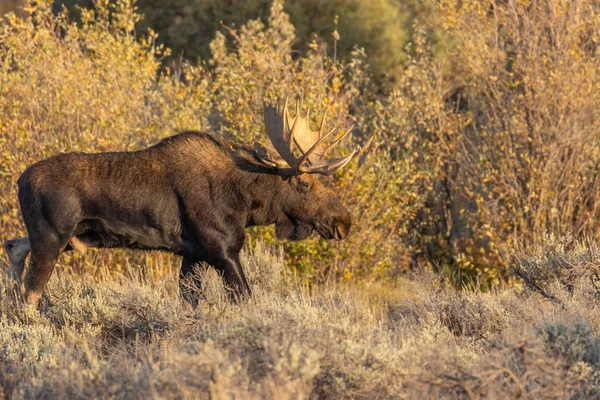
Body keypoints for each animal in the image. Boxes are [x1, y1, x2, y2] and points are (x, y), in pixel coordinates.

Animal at [3, 98, 370, 308]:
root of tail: (20, 181)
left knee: (13, 248)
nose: (343, 221)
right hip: (53, 237)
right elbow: (245, 299)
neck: (246, 202)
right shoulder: (221, 250)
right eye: (305, 182)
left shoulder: (193, 254)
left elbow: (190, 303)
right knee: (30, 293)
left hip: (70, 239)